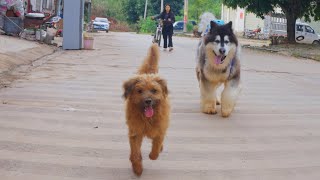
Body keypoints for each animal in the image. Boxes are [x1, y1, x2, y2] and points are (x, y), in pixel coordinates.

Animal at [122, 43, 170, 176]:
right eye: (139, 91)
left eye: (154, 90)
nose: (148, 101)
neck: (147, 119)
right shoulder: (135, 132)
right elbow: (135, 152)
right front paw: (137, 168)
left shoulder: (160, 129)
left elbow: (156, 145)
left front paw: (153, 155)